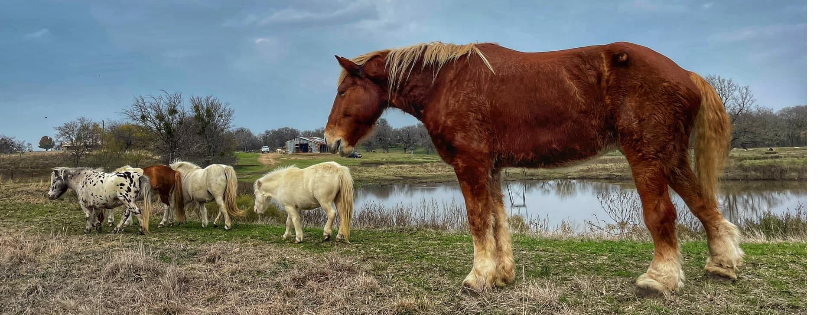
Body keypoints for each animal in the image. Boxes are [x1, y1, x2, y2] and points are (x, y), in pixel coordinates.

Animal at [326, 41, 744, 296]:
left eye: (344, 91)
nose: (331, 141)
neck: (447, 81)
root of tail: (685, 74)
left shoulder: (470, 164)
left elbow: (477, 219)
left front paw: (477, 277)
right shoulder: (491, 167)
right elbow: (497, 219)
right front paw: (499, 274)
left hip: (648, 156)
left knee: (663, 213)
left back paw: (660, 279)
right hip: (671, 157)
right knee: (703, 204)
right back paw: (722, 262)